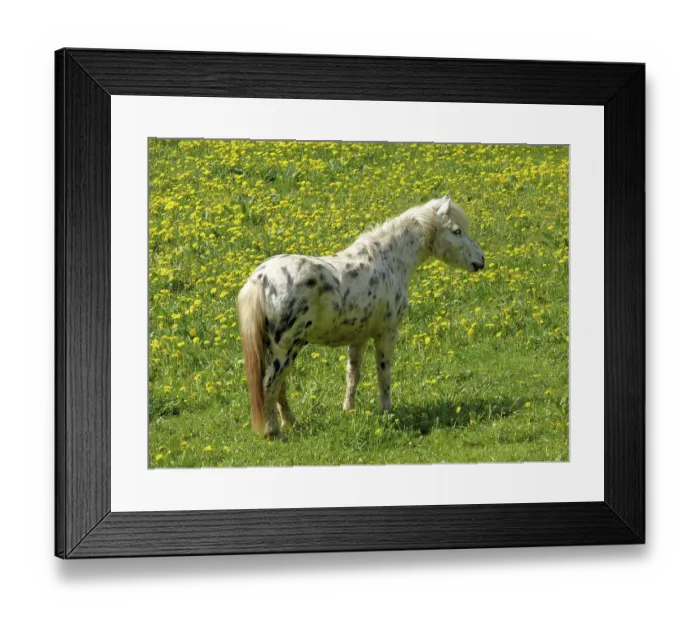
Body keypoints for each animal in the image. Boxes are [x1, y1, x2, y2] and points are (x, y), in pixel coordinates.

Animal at [237, 196, 485, 439]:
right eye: (456, 231)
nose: (481, 260)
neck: (387, 261)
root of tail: (262, 278)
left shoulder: (359, 338)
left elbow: (353, 375)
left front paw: (349, 410)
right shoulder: (386, 334)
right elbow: (383, 374)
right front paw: (387, 411)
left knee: (280, 386)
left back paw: (290, 422)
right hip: (285, 349)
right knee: (269, 385)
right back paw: (273, 432)